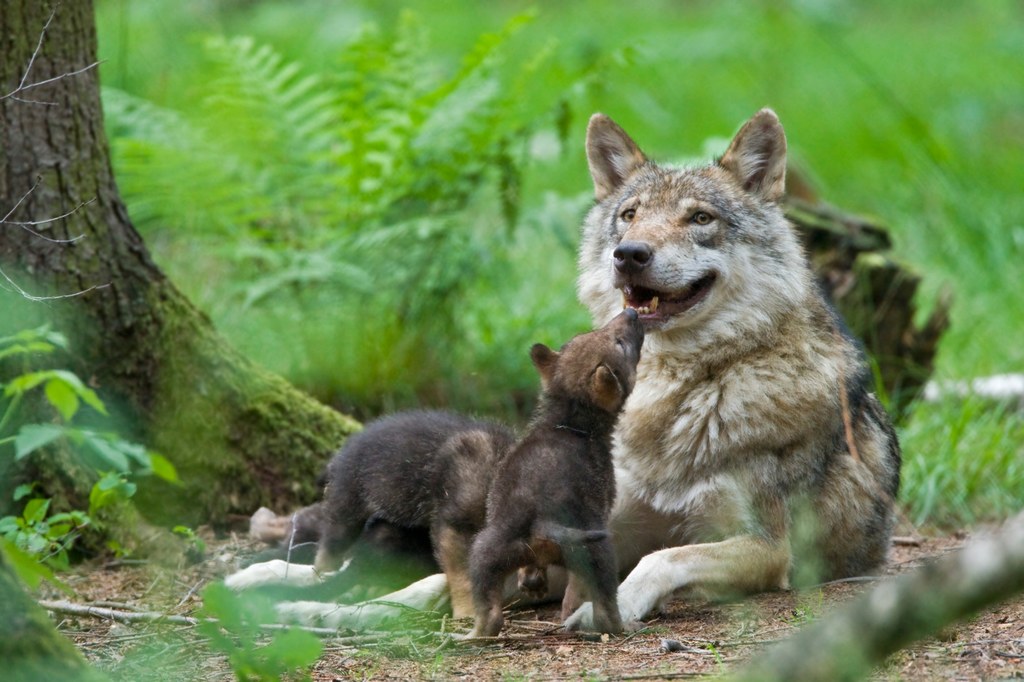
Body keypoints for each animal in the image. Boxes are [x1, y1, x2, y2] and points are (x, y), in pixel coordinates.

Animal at [468, 305, 643, 634]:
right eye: (619, 344)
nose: (631, 312)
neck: (568, 423)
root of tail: (541, 522)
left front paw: (532, 582)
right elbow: (577, 589)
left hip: (483, 552)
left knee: (490, 615)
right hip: (598, 552)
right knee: (605, 608)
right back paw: (624, 626)